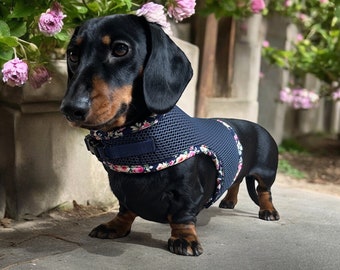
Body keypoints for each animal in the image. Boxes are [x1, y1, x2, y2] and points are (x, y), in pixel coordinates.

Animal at [60, 14, 278, 255]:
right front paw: (115, 226)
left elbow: (182, 215)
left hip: (267, 172)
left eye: (120, 49)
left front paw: (184, 238)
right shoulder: (123, 192)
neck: (134, 139)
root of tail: (258, 126)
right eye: (73, 54)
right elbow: (125, 209)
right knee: (237, 181)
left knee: (265, 191)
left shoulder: (188, 192)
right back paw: (229, 201)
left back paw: (268, 211)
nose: (71, 109)